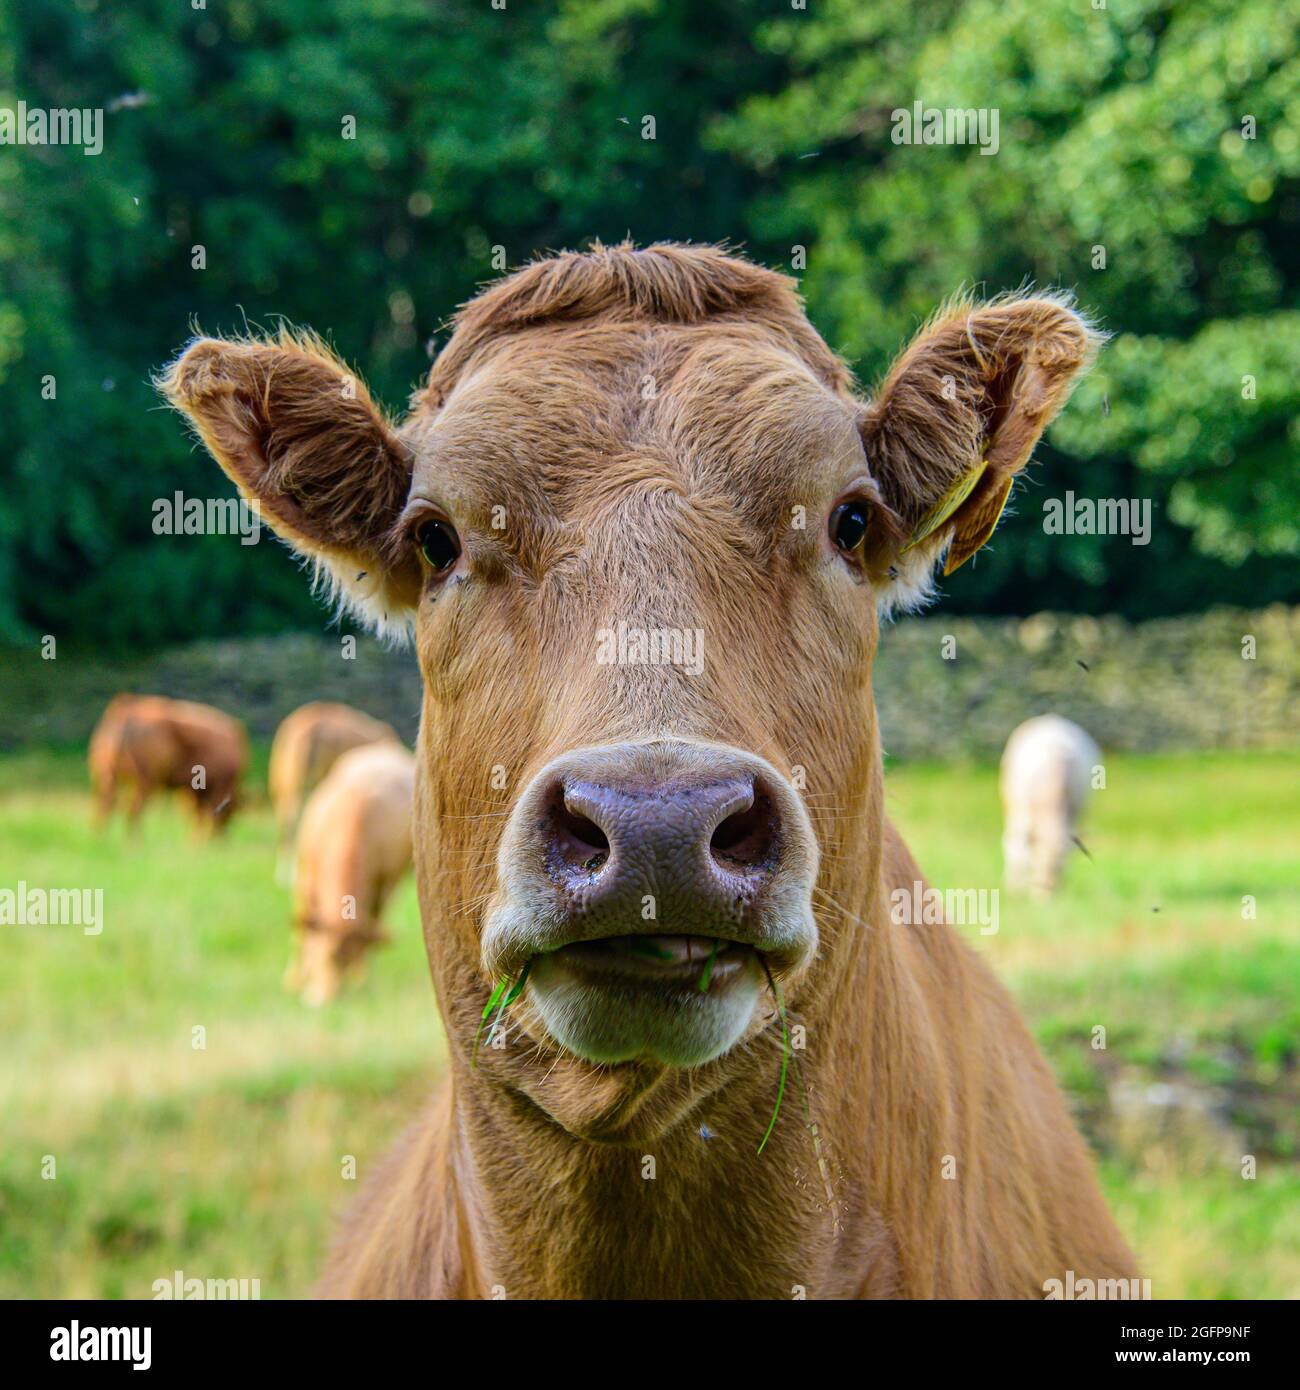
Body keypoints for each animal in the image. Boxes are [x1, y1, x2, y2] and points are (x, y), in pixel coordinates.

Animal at [90, 695, 247, 834]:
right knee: (133, 811)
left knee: (104, 809)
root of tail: (127, 706)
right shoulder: (216, 787)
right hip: (146, 782)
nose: (222, 837)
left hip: (107, 778)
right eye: (231, 813)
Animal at [287, 745, 414, 1006]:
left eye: (346, 963)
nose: (325, 999)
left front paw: (362, 976)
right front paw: (294, 981)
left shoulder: (384, 880)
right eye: (325, 955)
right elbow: (303, 931)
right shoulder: (305, 876)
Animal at [1001, 717, 1101, 900]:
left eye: (1061, 869)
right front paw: (1014, 890)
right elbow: (1016, 850)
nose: (1043, 899)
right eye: (1035, 865)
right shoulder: (1021, 814)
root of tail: (1051, 718)